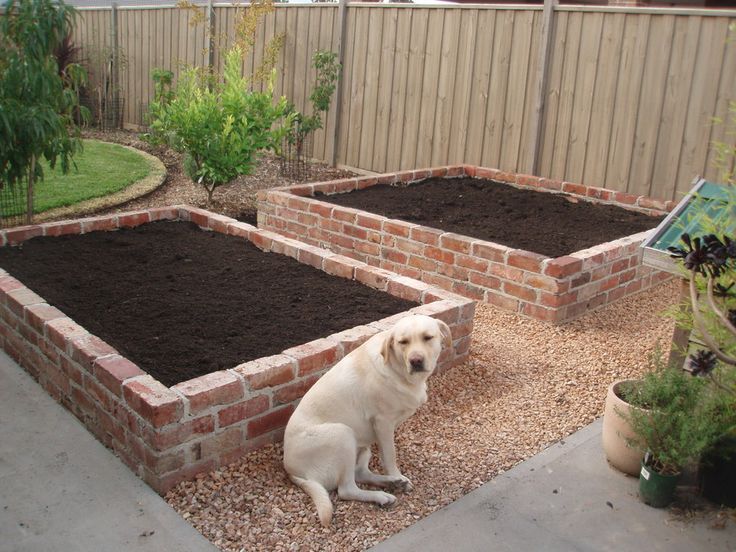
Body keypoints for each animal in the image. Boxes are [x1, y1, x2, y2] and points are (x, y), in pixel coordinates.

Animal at [284, 314, 452, 528]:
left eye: (428, 337)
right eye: (403, 342)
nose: (415, 361)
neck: (397, 369)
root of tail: (292, 470)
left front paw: (395, 479)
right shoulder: (383, 423)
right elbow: (390, 455)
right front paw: (396, 474)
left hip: (362, 446)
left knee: (360, 474)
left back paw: (391, 484)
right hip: (343, 434)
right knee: (346, 489)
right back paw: (383, 494)